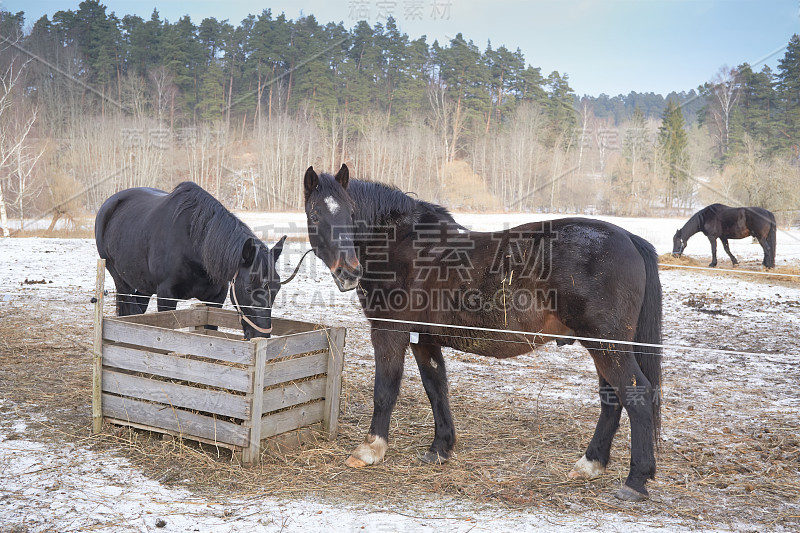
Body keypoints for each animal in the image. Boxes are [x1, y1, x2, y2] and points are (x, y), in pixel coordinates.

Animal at [96, 181, 288, 338]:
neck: (194, 247)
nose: (261, 336)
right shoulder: (166, 295)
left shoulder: (215, 299)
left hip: (144, 284)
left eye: (276, 289)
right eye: (248, 289)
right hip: (120, 280)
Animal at [304, 164, 664, 500]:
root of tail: (630, 239)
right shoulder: (423, 339)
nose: (349, 272)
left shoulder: (389, 331)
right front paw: (440, 448)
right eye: (315, 214)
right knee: (611, 399)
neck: (403, 245)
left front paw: (370, 449)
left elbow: (385, 389)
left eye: (352, 214)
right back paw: (591, 463)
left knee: (635, 394)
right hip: (603, 347)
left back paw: (635, 481)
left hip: (607, 347)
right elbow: (436, 388)